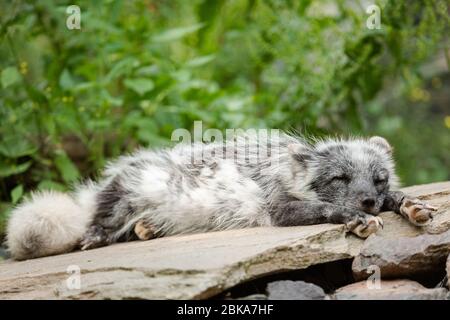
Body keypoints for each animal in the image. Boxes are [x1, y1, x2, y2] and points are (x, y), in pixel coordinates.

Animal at [6, 133, 436, 260]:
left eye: (379, 179)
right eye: (340, 177)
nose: (367, 202)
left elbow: (400, 198)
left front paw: (412, 206)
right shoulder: (277, 207)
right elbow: (323, 207)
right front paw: (357, 220)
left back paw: (146, 230)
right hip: (130, 189)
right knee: (96, 222)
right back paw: (94, 236)